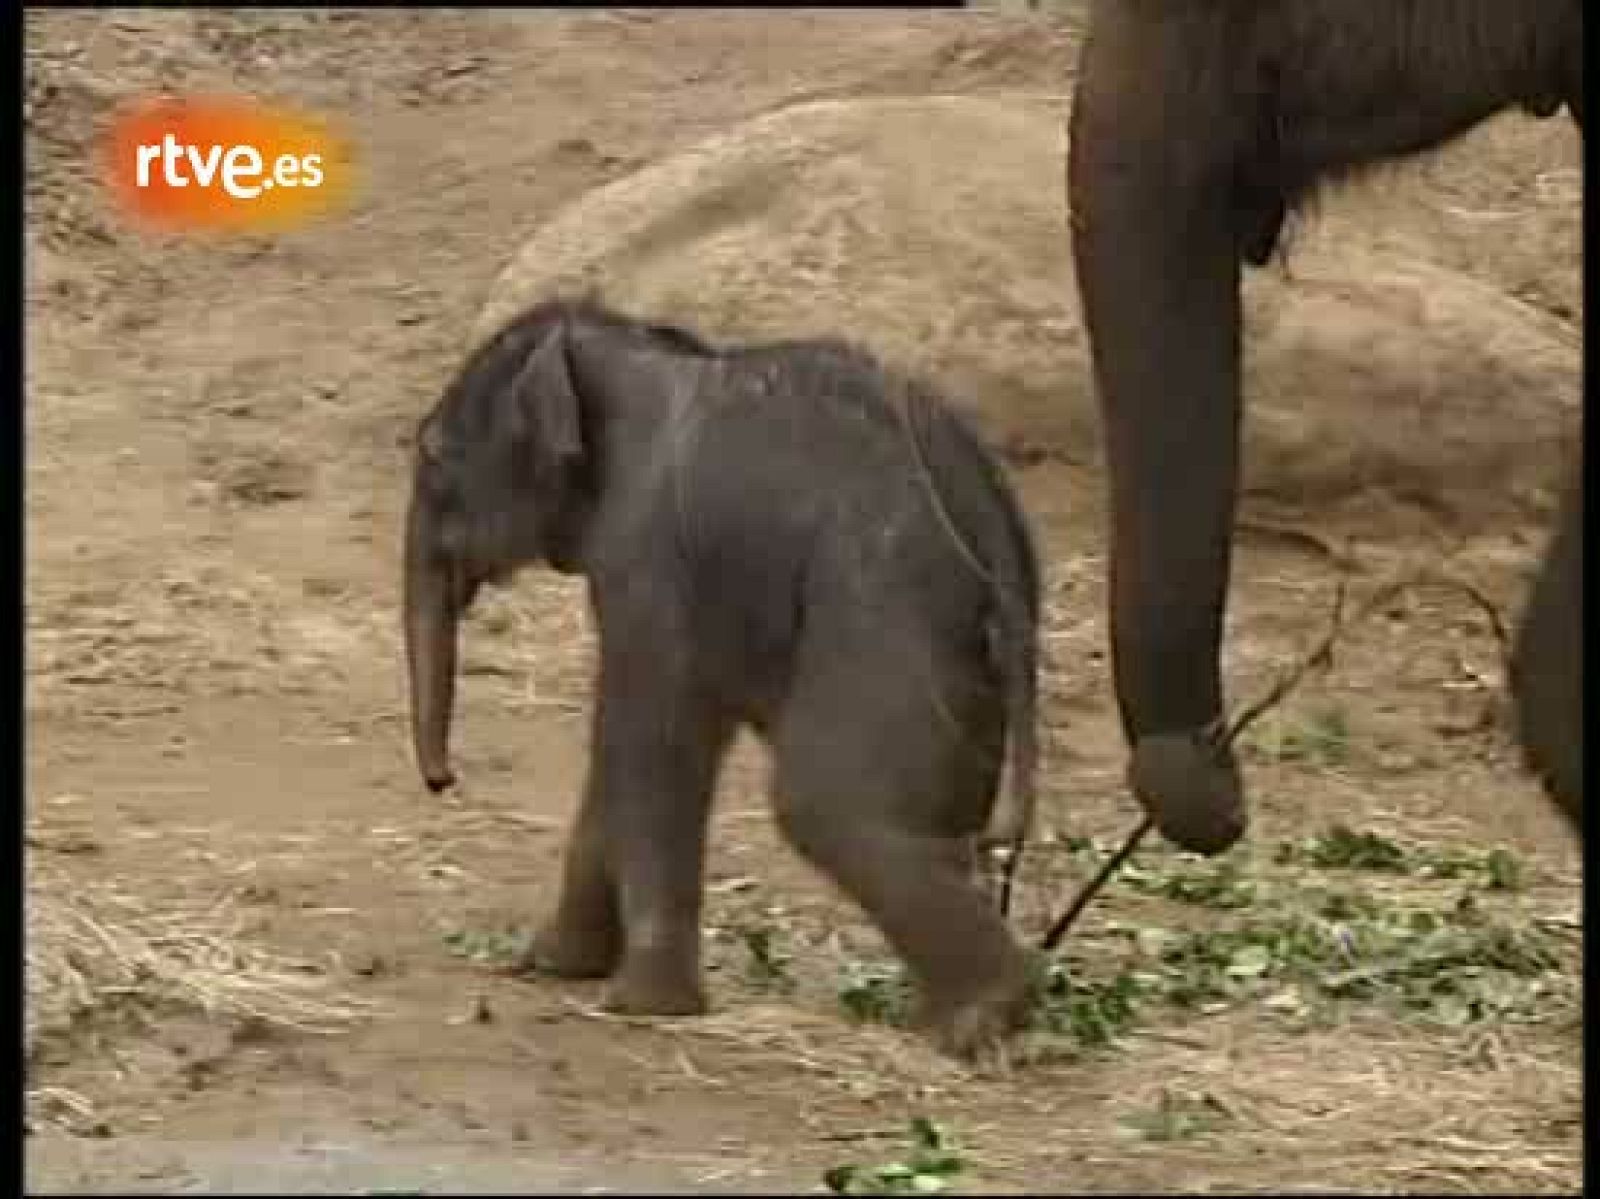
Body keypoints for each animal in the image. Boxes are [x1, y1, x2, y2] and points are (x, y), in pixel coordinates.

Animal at [401, 298, 1043, 1056]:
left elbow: (650, 738)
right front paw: (555, 965)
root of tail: (995, 518)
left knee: (826, 804)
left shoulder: (649, 561)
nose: (443, 781)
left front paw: (643, 1006)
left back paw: (983, 1016)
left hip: (888, 615)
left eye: (433, 457)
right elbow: (625, 751)